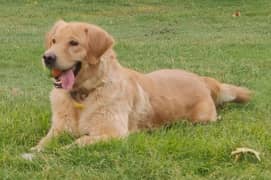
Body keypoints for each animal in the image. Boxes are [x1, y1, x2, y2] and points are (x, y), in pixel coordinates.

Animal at [29, 20, 251, 151]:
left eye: (74, 43)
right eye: (53, 41)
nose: (47, 57)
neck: (83, 94)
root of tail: (201, 79)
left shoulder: (114, 133)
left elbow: (77, 142)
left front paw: (56, 153)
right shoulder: (58, 129)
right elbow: (43, 142)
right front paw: (35, 151)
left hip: (201, 119)